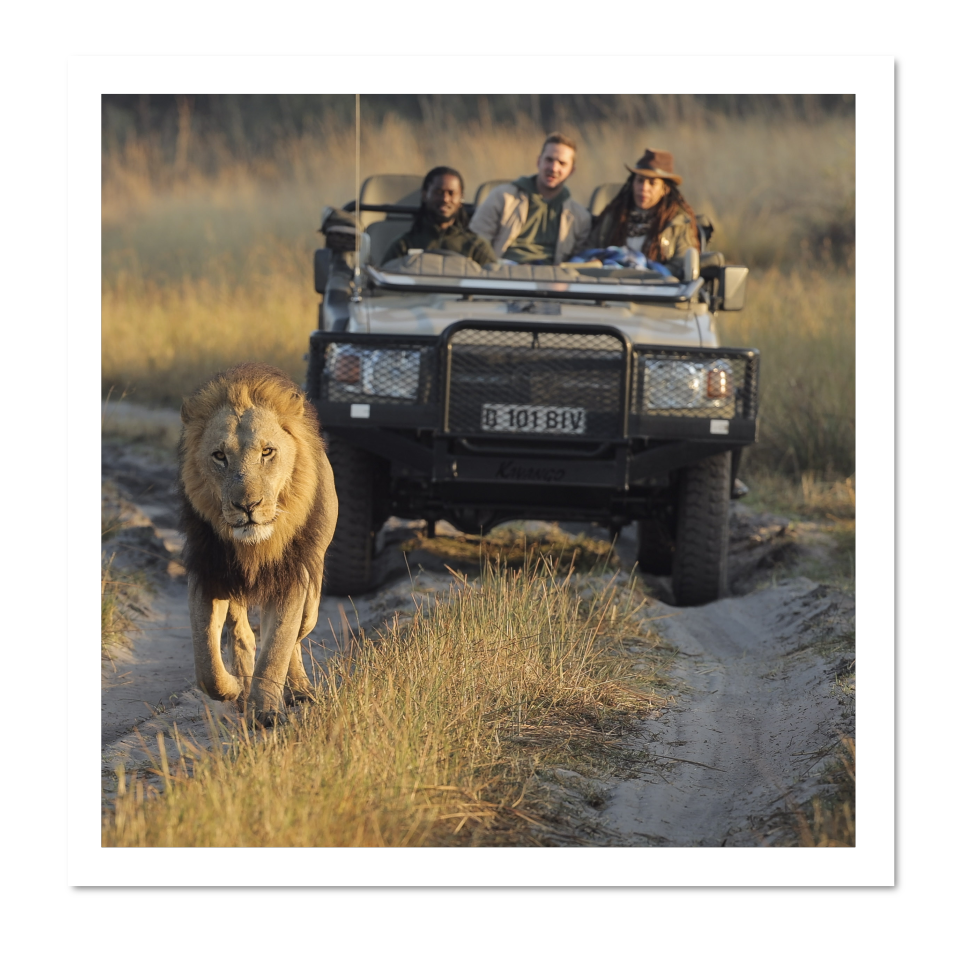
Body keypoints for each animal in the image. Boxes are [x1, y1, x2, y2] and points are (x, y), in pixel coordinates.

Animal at [178, 363, 337, 725]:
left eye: (267, 452)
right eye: (219, 456)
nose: (247, 506)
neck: (255, 546)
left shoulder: (293, 577)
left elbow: (277, 647)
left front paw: (265, 711)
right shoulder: (207, 574)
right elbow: (206, 663)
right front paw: (235, 689)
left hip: (313, 589)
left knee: (295, 636)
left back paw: (299, 690)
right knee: (242, 634)